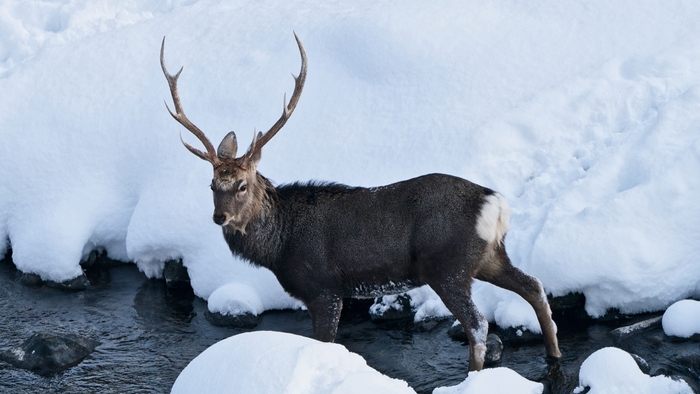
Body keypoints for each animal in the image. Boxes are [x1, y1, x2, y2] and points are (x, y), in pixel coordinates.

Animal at [161, 33, 560, 370]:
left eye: (242, 185)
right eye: (212, 185)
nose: (220, 217)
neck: (279, 245)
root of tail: (496, 204)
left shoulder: (324, 288)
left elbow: (325, 342)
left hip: (448, 265)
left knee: (477, 324)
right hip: (489, 256)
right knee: (534, 286)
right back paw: (554, 355)